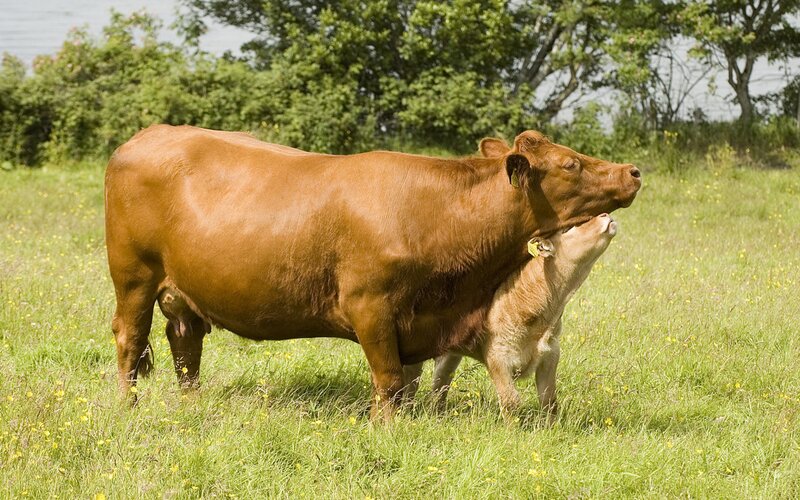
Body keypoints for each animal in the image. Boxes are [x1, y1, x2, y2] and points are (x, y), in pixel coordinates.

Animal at [404, 213, 618, 421]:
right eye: (569, 228)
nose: (605, 215)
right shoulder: (498, 356)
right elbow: (511, 401)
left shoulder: (550, 353)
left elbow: (549, 400)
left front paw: (550, 427)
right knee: (411, 378)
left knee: (441, 379)